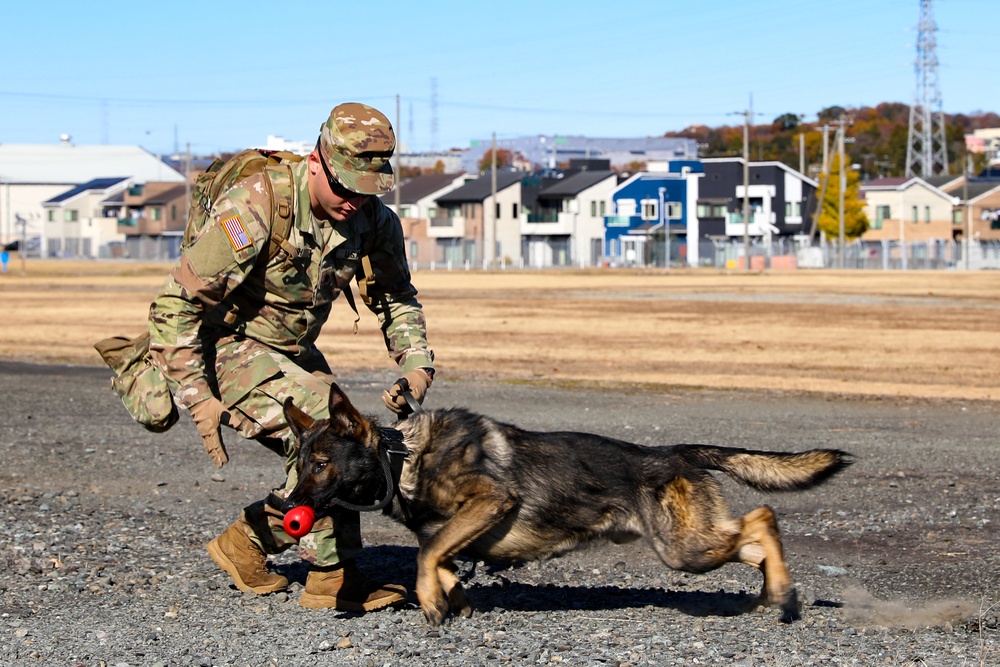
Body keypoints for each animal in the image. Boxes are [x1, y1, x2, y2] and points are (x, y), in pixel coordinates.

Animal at [282, 386, 852, 628]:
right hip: (693, 546)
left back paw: (783, 594)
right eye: (299, 461)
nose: (288, 507)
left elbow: (426, 559)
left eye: (322, 464)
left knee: (763, 518)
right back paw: (774, 593)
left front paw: (433, 604)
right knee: (754, 539)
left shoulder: (491, 501)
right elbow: (437, 561)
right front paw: (453, 600)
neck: (401, 458)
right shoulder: (451, 533)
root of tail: (674, 452)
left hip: (684, 549)